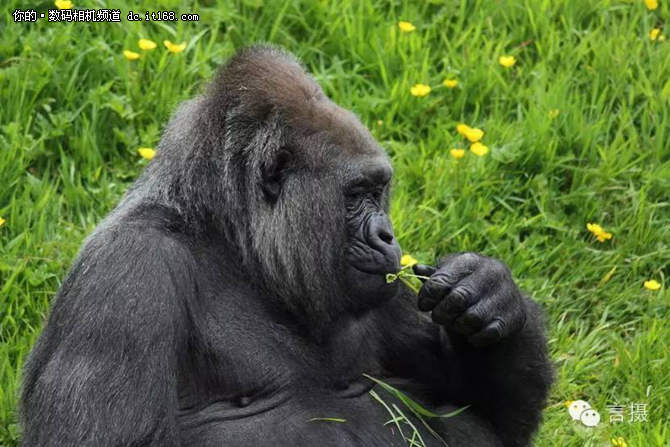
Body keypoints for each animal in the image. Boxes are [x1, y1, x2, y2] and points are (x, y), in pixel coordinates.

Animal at [22, 43, 556, 446]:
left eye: (379, 190)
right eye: (355, 196)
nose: (387, 235)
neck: (232, 242)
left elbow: (485, 415)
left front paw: (489, 290)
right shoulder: (128, 270)